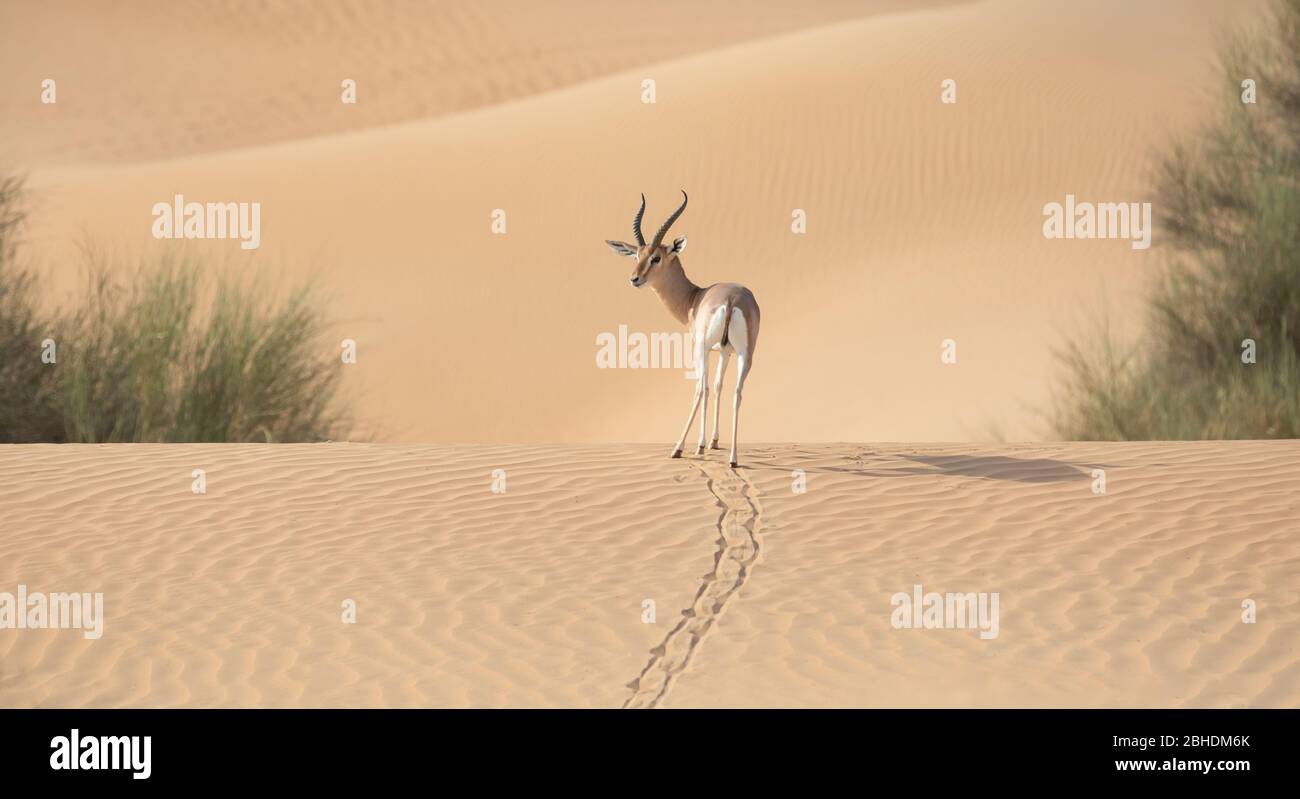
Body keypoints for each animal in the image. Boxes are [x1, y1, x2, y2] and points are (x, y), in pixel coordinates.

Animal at [605, 191, 760, 468]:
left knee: (700, 389)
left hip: (702, 350)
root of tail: (731, 299)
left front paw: (700, 446)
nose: (634, 279)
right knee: (736, 392)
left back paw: (678, 448)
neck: (694, 298)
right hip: (746, 355)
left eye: (656, 257)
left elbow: (705, 388)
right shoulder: (725, 351)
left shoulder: (702, 348)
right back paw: (733, 458)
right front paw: (713, 442)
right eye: (636, 256)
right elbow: (719, 386)